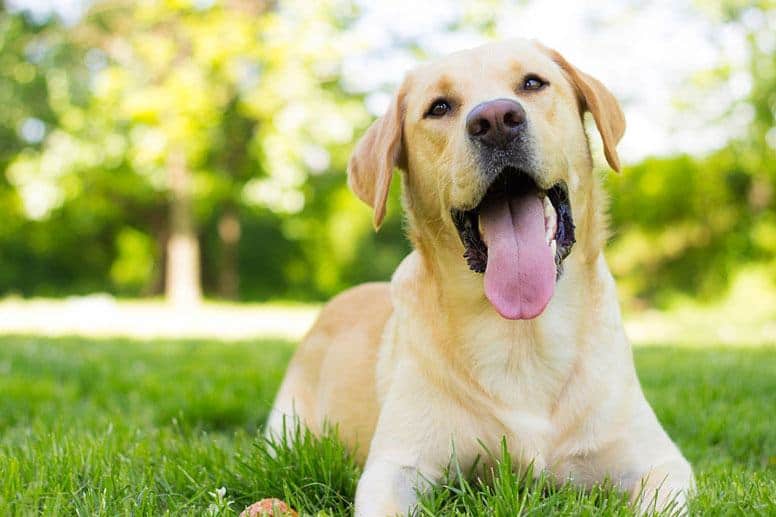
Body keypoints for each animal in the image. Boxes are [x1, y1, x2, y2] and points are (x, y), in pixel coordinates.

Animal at [266, 39, 692, 516]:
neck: (522, 335)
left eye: (532, 83)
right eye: (439, 107)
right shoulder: (397, 465)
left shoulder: (660, 462)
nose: (496, 121)